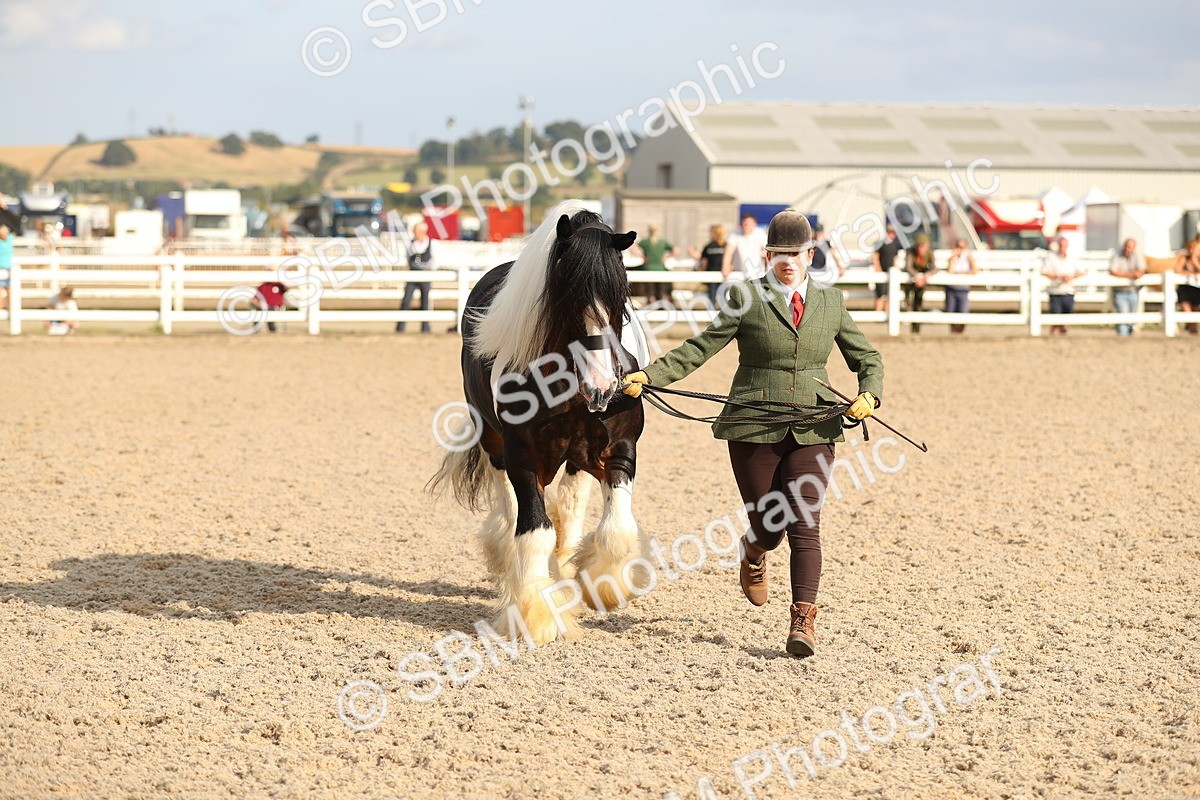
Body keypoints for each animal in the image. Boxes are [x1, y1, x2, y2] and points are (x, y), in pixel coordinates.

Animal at [429, 200, 652, 644]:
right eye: (565, 296)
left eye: (621, 296)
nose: (605, 386)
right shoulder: (524, 457)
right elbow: (534, 531)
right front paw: (537, 613)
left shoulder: (618, 450)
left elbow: (615, 527)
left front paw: (603, 585)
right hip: (494, 443)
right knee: (512, 508)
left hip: (579, 456)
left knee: (571, 503)